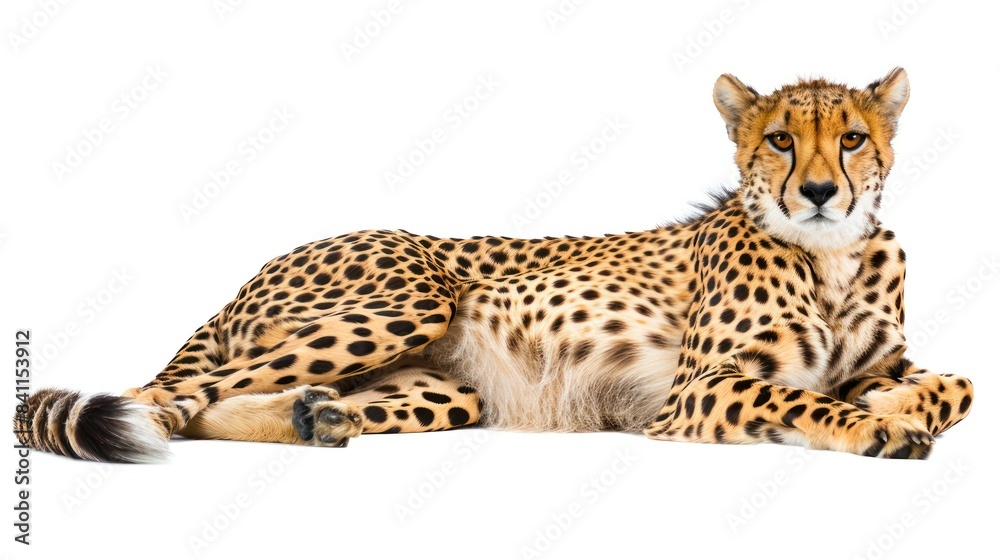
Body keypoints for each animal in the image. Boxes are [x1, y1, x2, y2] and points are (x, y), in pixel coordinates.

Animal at [15, 68, 973, 462]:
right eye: (780, 139)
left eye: (852, 138)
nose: (818, 191)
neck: (833, 258)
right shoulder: (699, 392)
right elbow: (807, 398)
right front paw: (881, 424)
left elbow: (958, 382)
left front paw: (893, 402)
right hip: (411, 301)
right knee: (156, 397)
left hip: (449, 389)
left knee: (197, 407)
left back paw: (315, 418)